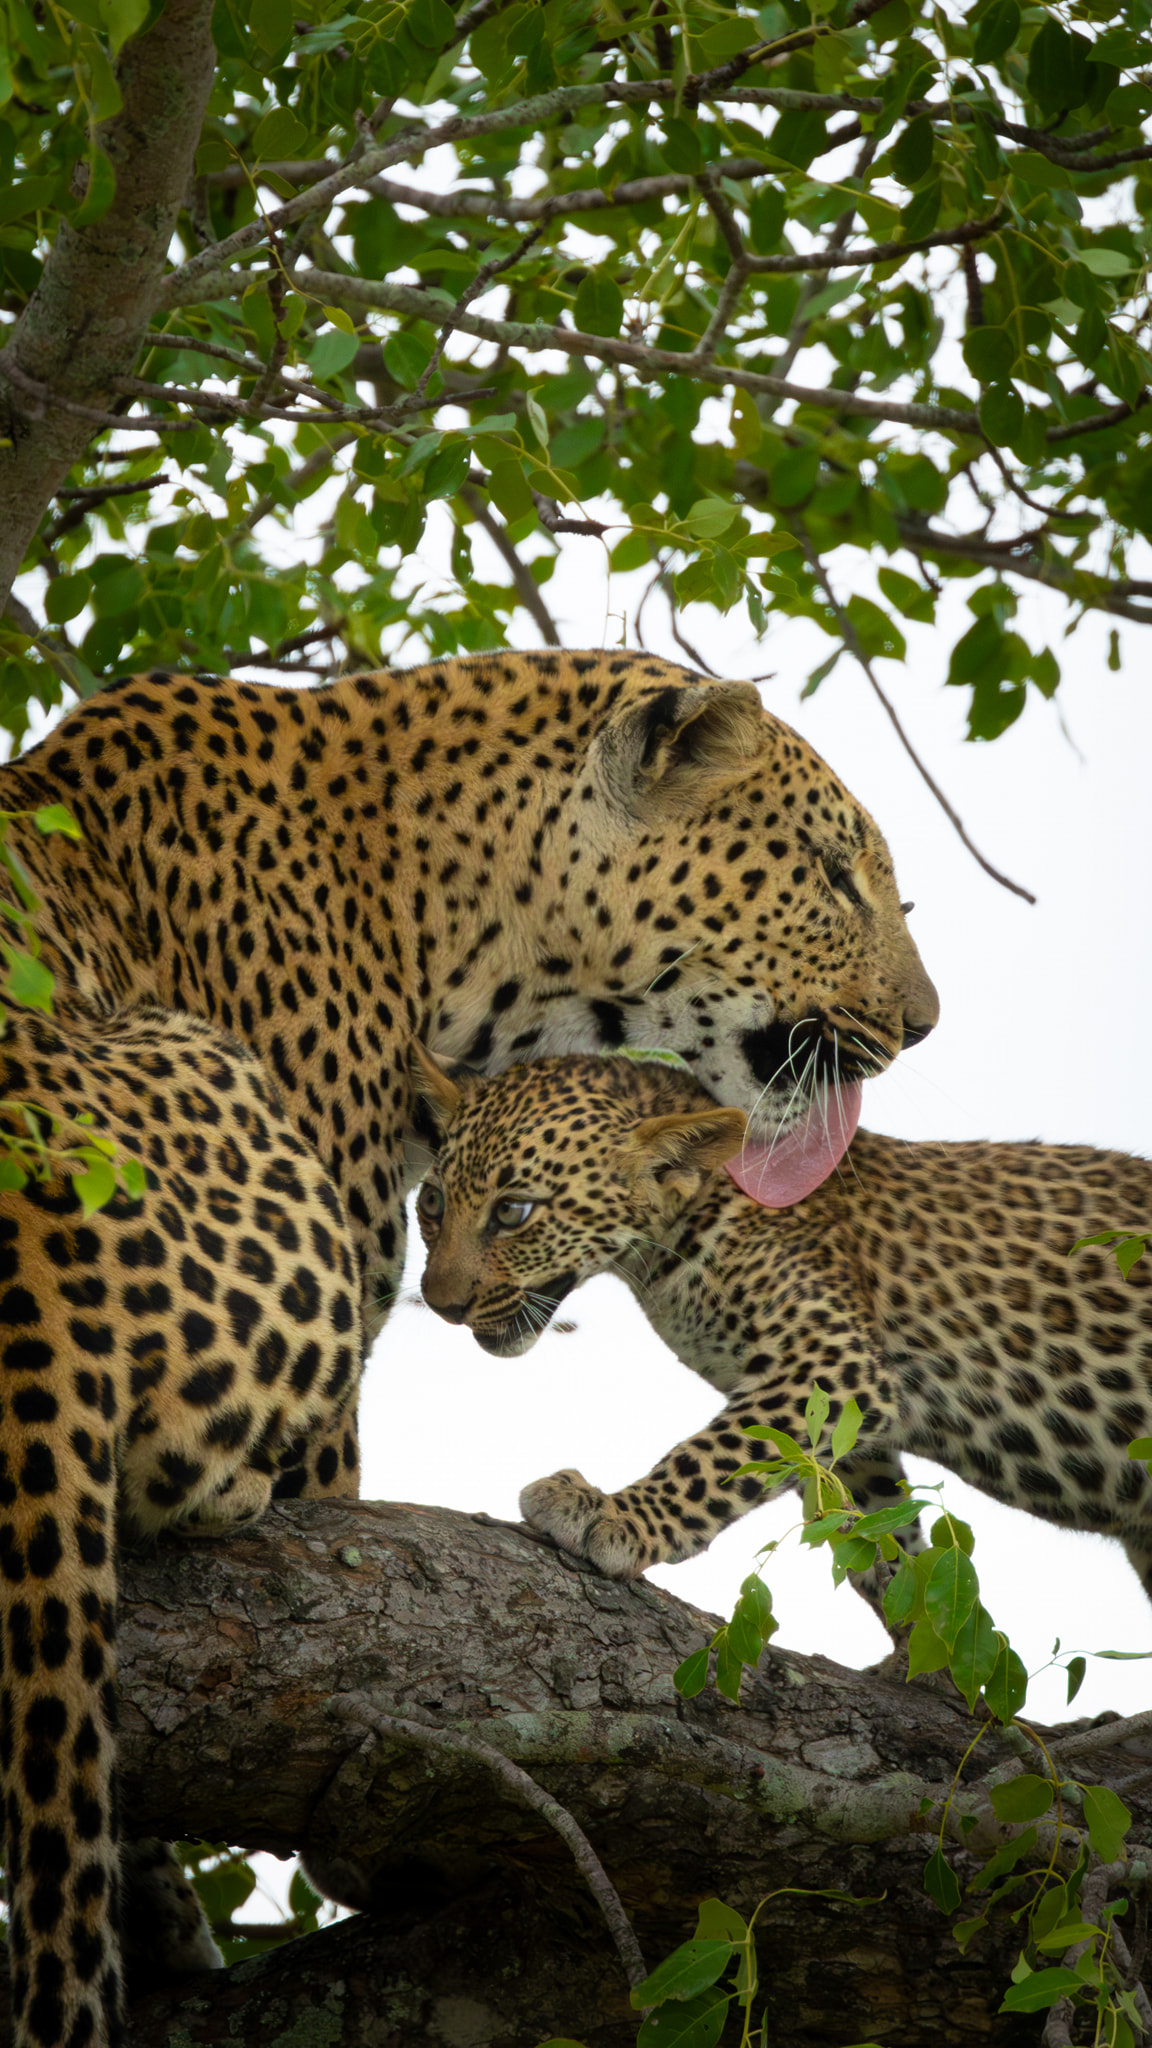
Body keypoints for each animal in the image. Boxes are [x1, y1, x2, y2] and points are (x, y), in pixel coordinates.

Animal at [411, 1045, 1152, 1622]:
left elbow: (713, 1458)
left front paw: (616, 1516)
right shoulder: (842, 1426)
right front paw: (933, 1653)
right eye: (432, 1203)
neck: (669, 1243)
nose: (442, 1304)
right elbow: (873, 1534)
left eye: (514, 1211)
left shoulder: (832, 1363)